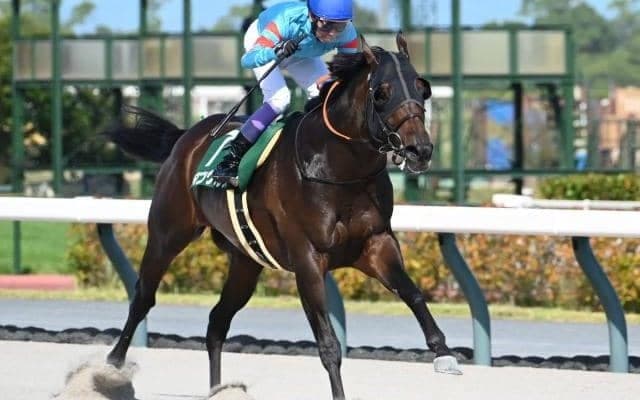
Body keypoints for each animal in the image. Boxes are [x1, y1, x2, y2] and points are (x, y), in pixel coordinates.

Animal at [103, 33, 461, 400]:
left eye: (422, 88)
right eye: (382, 93)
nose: (420, 150)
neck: (338, 167)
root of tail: (185, 136)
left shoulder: (376, 244)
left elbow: (413, 293)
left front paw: (444, 354)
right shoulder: (308, 260)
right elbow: (328, 344)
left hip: (246, 262)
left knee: (217, 321)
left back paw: (217, 388)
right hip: (168, 232)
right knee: (143, 296)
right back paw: (112, 365)